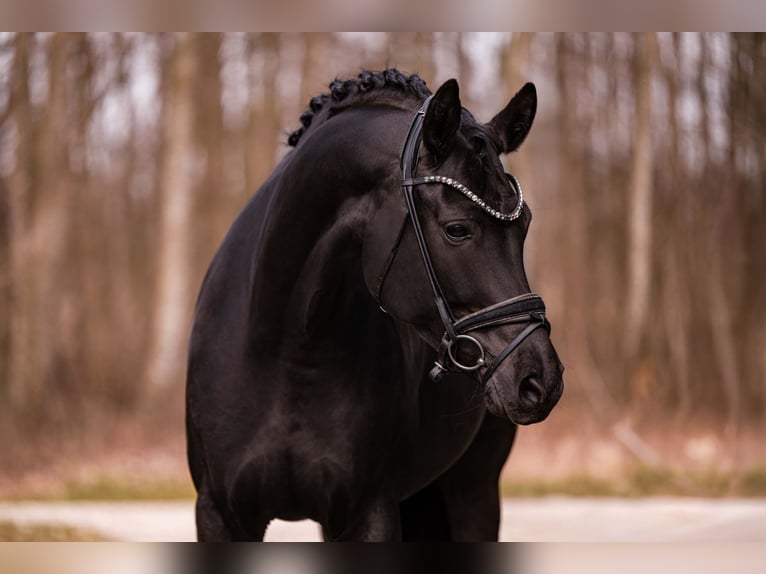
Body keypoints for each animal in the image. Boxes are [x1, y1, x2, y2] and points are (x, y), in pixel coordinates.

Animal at [186, 69, 564, 541]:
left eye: (524, 225)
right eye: (457, 229)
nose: (540, 380)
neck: (287, 353)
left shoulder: (369, 512)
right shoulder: (220, 514)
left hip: (473, 489)